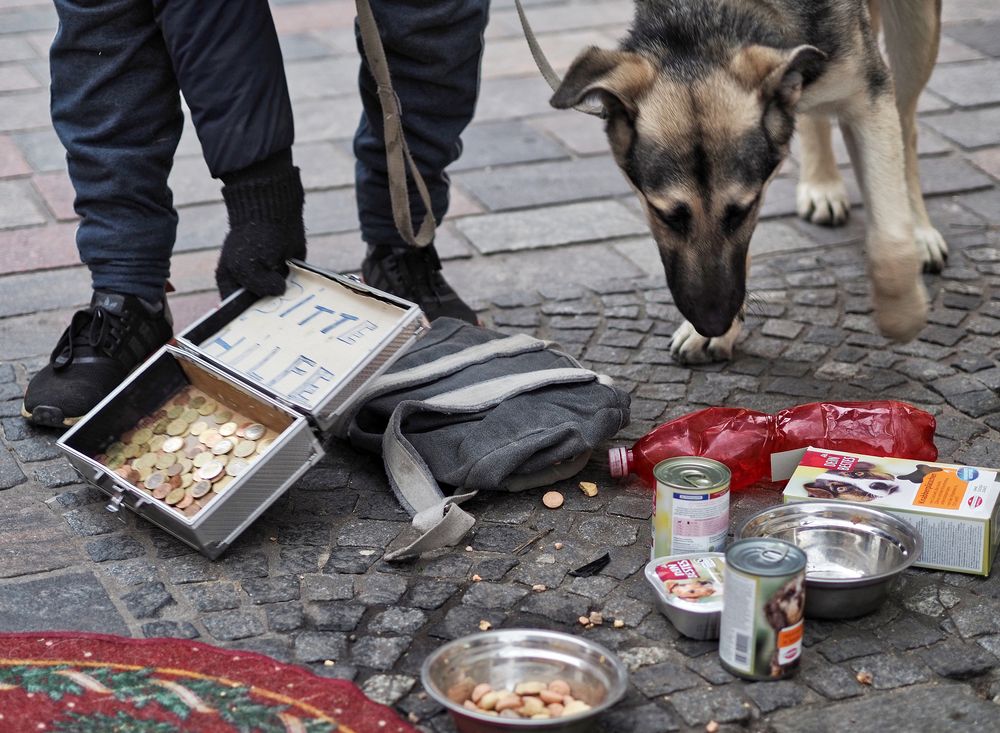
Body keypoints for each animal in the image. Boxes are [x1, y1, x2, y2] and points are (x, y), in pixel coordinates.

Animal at [552, 0, 940, 364]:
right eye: (666, 216)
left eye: (741, 211)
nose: (712, 324)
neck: (706, 20)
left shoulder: (869, 96)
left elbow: (890, 243)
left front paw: (903, 316)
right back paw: (822, 184)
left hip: (915, 31)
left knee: (907, 128)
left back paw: (919, 231)